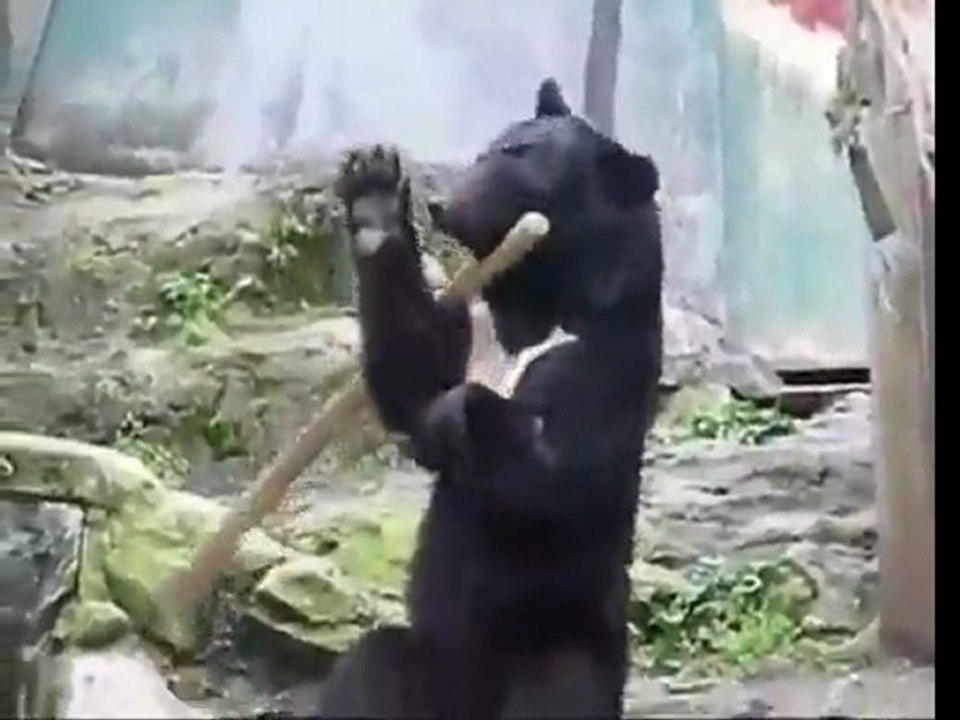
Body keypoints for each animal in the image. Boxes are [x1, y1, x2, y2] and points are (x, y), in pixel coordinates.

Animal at [321, 77, 663, 719]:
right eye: (489, 147)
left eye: (517, 156)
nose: (442, 205)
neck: (537, 303)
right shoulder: (474, 320)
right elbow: (415, 372)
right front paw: (375, 196)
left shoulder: (604, 360)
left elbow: (559, 480)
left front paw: (460, 413)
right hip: (426, 661)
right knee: (370, 669)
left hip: (562, 643)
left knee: (559, 692)